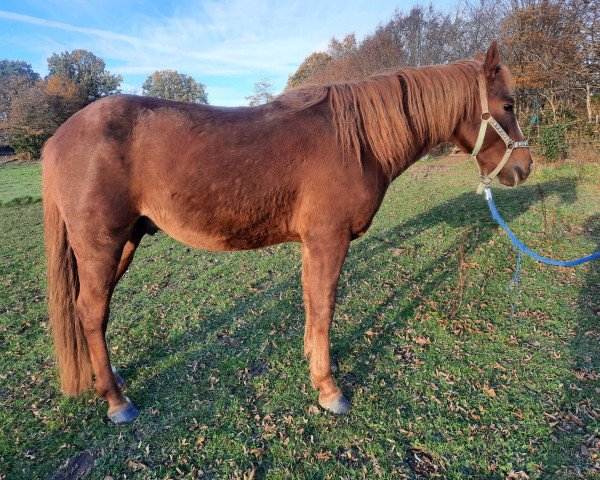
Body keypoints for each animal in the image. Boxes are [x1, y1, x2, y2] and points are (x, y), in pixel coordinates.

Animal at [41, 42, 528, 424]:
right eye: (508, 106)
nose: (524, 169)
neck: (356, 140)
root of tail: (59, 137)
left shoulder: (313, 244)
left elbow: (312, 302)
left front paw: (313, 363)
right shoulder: (329, 241)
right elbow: (325, 306)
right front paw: (330, 389)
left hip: (125, 243)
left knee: (92, 312)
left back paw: (110, 380)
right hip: (101, 246)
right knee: (91, 311)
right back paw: (117, 401)